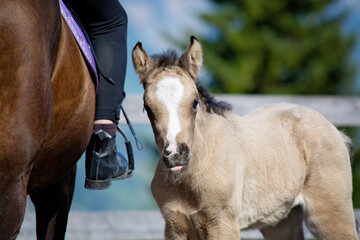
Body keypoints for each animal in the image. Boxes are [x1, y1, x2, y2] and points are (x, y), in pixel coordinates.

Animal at [131, 36, 358, 240]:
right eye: (147, 108)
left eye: (194, 102)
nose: (176, 155)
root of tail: (334, 130)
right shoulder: (175, 226)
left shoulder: (222, 224)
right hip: (281, 221)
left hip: (331, 215)